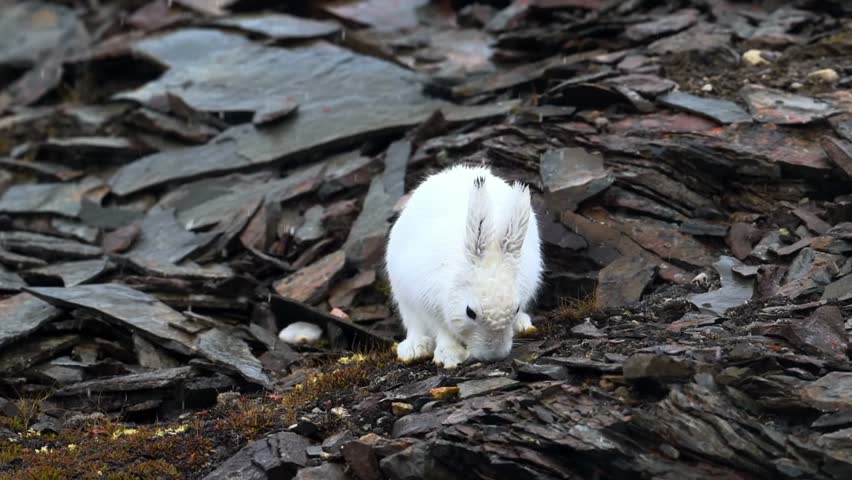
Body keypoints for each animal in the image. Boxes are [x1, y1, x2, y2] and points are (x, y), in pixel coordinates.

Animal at [385, 163, 543, 368]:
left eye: (515, 308)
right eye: (470, 312)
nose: (493, 356)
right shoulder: (428, 303)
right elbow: (442, 331)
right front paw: (450, 356)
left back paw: (523, 325)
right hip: (403, 298)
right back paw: (415, 349)